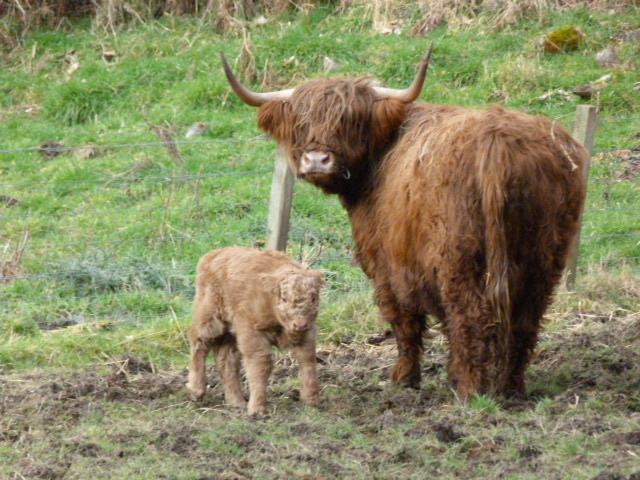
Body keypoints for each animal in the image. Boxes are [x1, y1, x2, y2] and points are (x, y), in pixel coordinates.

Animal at [185, 246, 324, 414]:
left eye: (313, 298)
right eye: (284, 299)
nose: (300, 324)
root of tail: (213, 254)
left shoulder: (308, 333)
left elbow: (308, 360)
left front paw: (312, 402)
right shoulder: (252, 333)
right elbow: (261, 364)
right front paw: (257, 409)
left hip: (231, 333)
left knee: (227, 361)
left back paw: (236, 402)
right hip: (210, 319)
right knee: (199, 343)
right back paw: (196, 390)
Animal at [222, 46, 588, 398]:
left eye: (350, 120)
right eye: (301, 120)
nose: (316, 160)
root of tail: (496, 142)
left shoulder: (387, 264)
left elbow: (404, 320)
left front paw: (405, 377)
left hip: (458, 257)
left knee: (470, 314)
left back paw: (470, 391)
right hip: (544, 255)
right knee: (526, 317)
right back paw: (511, 387)